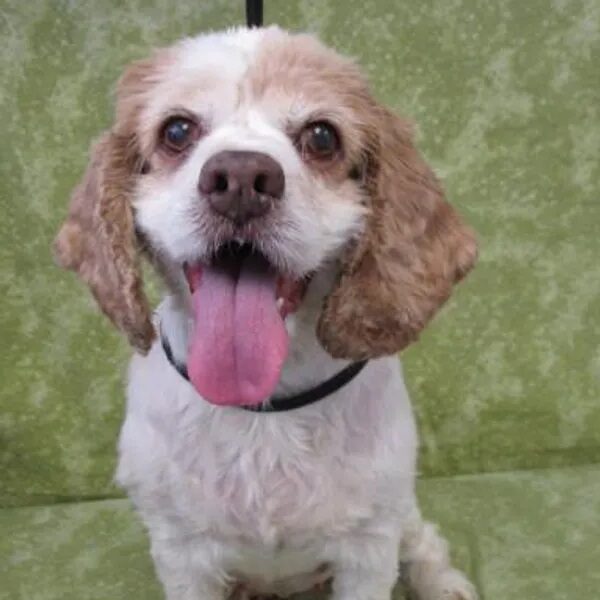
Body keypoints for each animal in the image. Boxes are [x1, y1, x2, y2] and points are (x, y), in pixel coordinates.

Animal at [54, 27, 476, 600]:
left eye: (322, 137)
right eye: (177, 130)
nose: (240, 176)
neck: (264, 408)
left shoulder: (368, 546)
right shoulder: (181, 552)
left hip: (399, 512)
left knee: (423, 541)